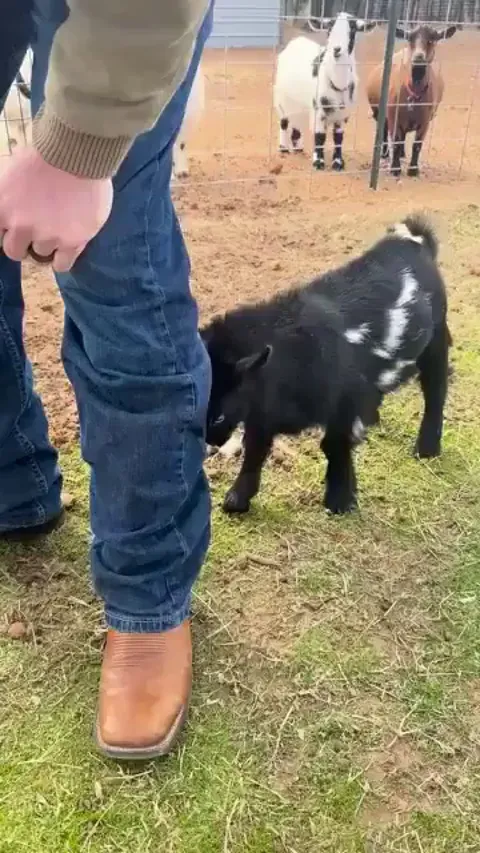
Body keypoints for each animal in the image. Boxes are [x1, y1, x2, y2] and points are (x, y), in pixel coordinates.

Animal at [202, 215, 450, 516]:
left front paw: (340, 501)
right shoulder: (263, 412)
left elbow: (332, 444)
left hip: (436, 340)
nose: (209, 443)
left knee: (435, 391)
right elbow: (255, 449)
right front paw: (237, 501)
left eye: (219, 416)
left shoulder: (344, 400)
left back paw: (426, 448)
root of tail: (413, 240)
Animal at [274, 12, 375, 170]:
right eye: (329, 29)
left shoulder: (343, 115)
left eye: (352, 29)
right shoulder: (319, 111)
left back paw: (298, 148)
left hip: (300, 102)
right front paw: (318, 162)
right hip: (281, 98)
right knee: (284, 122)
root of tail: (296, 41)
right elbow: (320, 136)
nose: (336, 49)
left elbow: (338, 137)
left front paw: (338, 163)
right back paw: (283, 148)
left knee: (297, 122)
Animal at [367, 24, 458, 177]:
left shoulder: (425, 122)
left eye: (432, 39)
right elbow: (396, 141)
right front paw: (395, 168)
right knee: (385, 132)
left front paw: (413, 169)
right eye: (410, 39)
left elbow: (417, 145)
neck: (414, 95)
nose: (418, 58)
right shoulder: (394, 117)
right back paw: (385, 155)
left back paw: (402, 155)